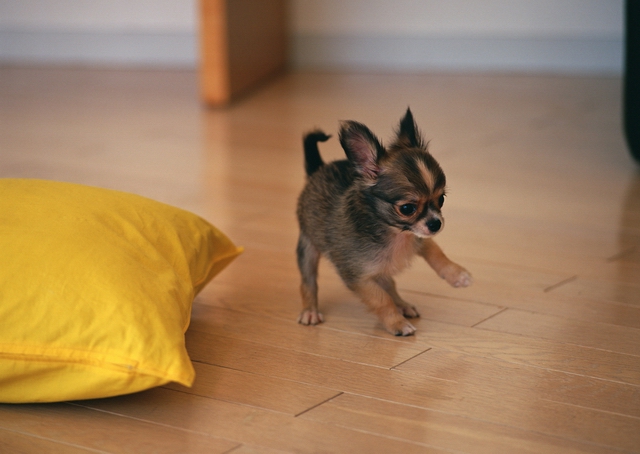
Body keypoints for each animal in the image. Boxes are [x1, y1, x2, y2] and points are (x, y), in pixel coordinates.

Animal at [296, 108, 470, 336]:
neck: (396, 233)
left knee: (390, 285)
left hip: (382, 269)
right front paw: (397, 324)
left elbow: (436, 253)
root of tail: (317, 170)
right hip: (308, 247)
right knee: (308, 281)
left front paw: (457, 275)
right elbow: (381, 300)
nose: (436, 224)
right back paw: (310, 311)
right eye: (407, 208)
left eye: (441, 199)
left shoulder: (418, 238)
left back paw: (403, 305)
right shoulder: (358, 277)